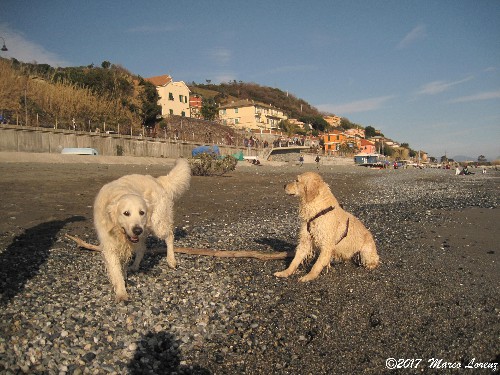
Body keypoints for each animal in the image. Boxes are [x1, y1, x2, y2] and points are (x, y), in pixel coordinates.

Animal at [93, 159, 190, 302]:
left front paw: (121, 292)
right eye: (126, 213)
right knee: (143, 248)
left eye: (142, 212)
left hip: (157, 224)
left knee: (169, 236)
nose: (137, 230)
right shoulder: (110, 245)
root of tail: (157, 180)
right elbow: (116, 270)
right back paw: (135, 266)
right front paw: (121, 290)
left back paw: (171, 260)